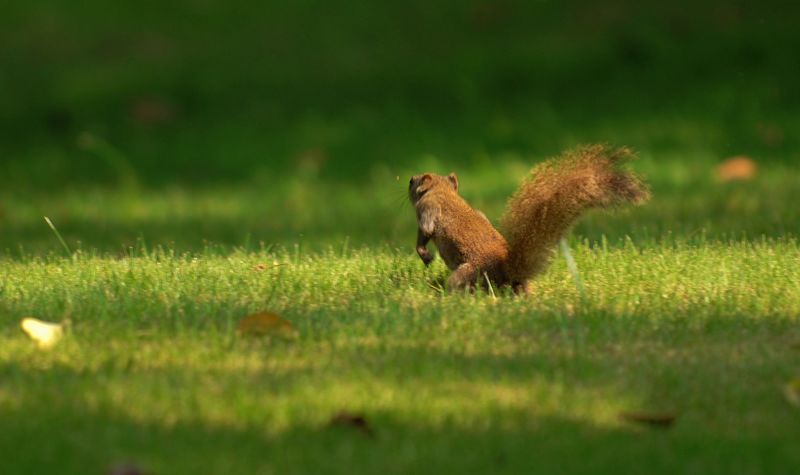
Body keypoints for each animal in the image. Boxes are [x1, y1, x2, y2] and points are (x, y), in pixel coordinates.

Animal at [410, 145, 648, 294]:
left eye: (413, 181)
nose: (409, 179)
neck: (443, 192)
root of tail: (508, 270)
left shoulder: (428, 209)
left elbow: (426, 230)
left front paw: (425, 255)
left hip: (468, 273)